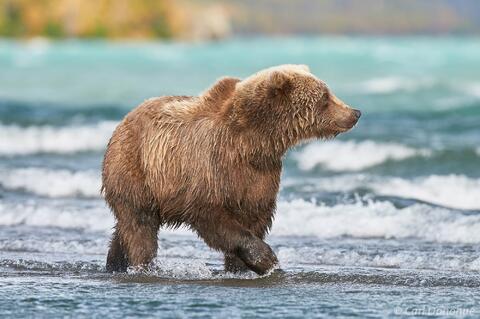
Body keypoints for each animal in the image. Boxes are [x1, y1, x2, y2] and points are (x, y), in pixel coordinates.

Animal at [101, 64, 360, 276]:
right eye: (325, 97)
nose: (355, 112)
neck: (253, 143)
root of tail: (124, 120)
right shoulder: (211, 169)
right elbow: (216, 220)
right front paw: (267, 260)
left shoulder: (259, 177)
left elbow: (255, 217)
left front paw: (241, 268)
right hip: (136, 169)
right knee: (140, 226)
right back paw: (144, 266)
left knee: (124, 229)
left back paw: (115, 264)